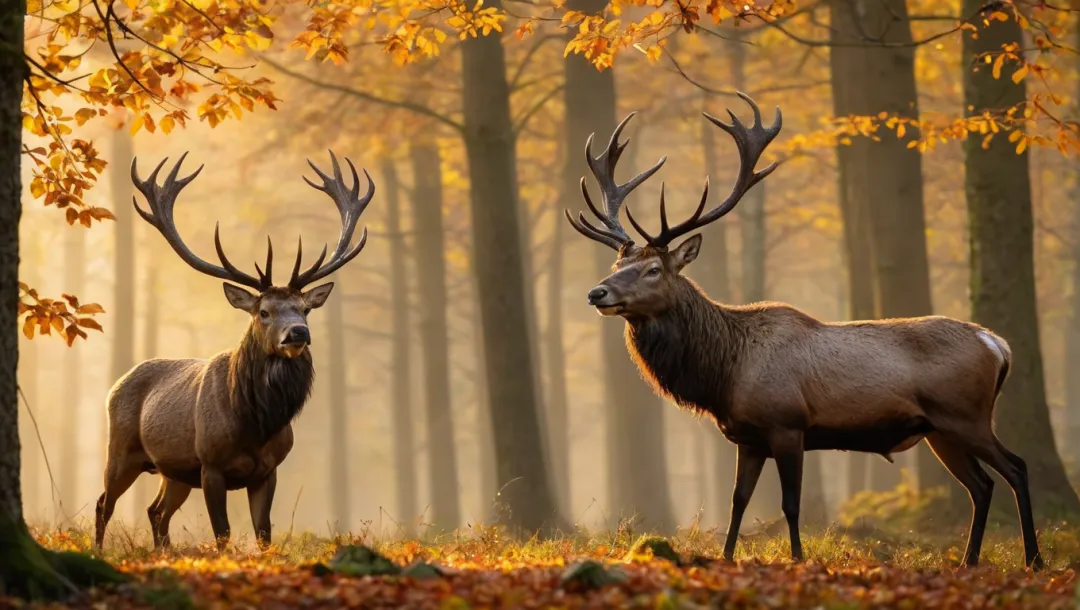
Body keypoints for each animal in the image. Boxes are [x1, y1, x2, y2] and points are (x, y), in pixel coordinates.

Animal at [97, 151, 375, 546]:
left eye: (304, 308)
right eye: (263, 311)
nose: (298, 333)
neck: (255, 425)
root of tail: (116, 384)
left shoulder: (268, 470)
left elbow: (264, 532)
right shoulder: (210, 465)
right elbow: (223, 533)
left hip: (174, 471)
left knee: (155, 511)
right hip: (121, 450)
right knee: (104, 504)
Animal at [565, 92, 1045, 570]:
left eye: (652, 270)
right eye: (617, 264)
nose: (597, 292)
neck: (725, 373)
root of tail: (997, 345)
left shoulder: (787, 423)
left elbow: (790, 504)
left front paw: (797, 559)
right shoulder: (748, 437)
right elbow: (738, 501)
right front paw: (726, 557)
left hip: (967, 415)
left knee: (1017, 467)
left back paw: (1033, 559)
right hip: (939, 429)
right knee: (981, 485)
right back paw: (969, 560)